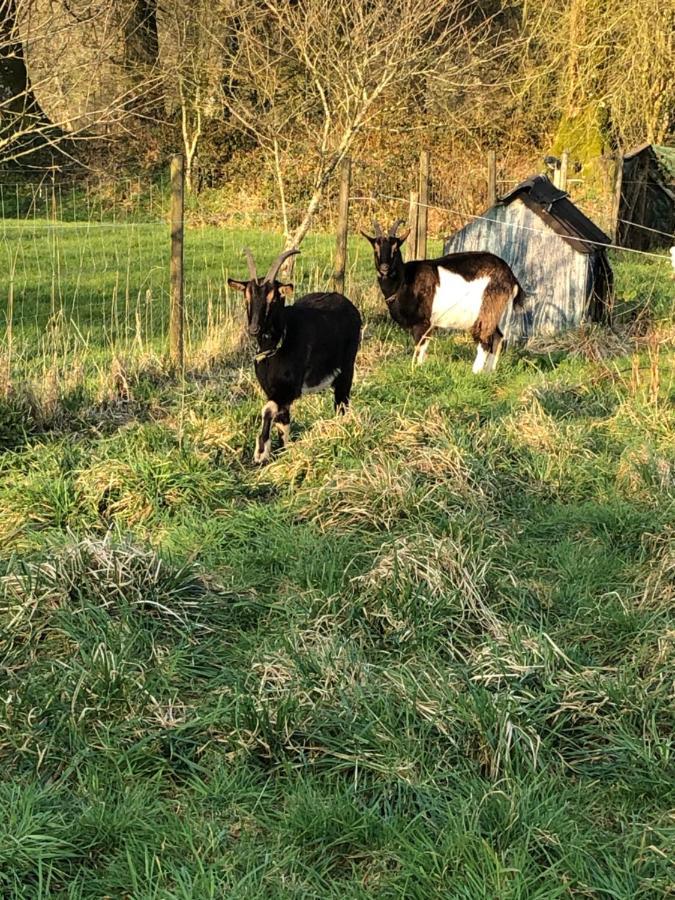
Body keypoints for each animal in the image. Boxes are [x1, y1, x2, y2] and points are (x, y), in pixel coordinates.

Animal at [228, 246, 364, 464]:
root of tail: (347, 303)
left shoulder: (290, 389)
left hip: (347, 368)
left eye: (274, 298)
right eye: (246, 297)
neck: (277, 345)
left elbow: (267, 410)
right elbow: (282, 421)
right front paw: (283, 451)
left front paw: (260, 452)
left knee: (341, 402)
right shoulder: (272, 389)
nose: (254, 328)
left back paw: (340, 431)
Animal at [362, 219, 524, 372]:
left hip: (488, 307)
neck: (404, 280)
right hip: (492, 312)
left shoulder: (423, 323)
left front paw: (415, 371)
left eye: (395, 249)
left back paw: (475, 372)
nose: (384, 268)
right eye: (375, 248)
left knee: (485, 340)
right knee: (498, 337)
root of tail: (510, 276)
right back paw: (489, 372)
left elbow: (420, 349)